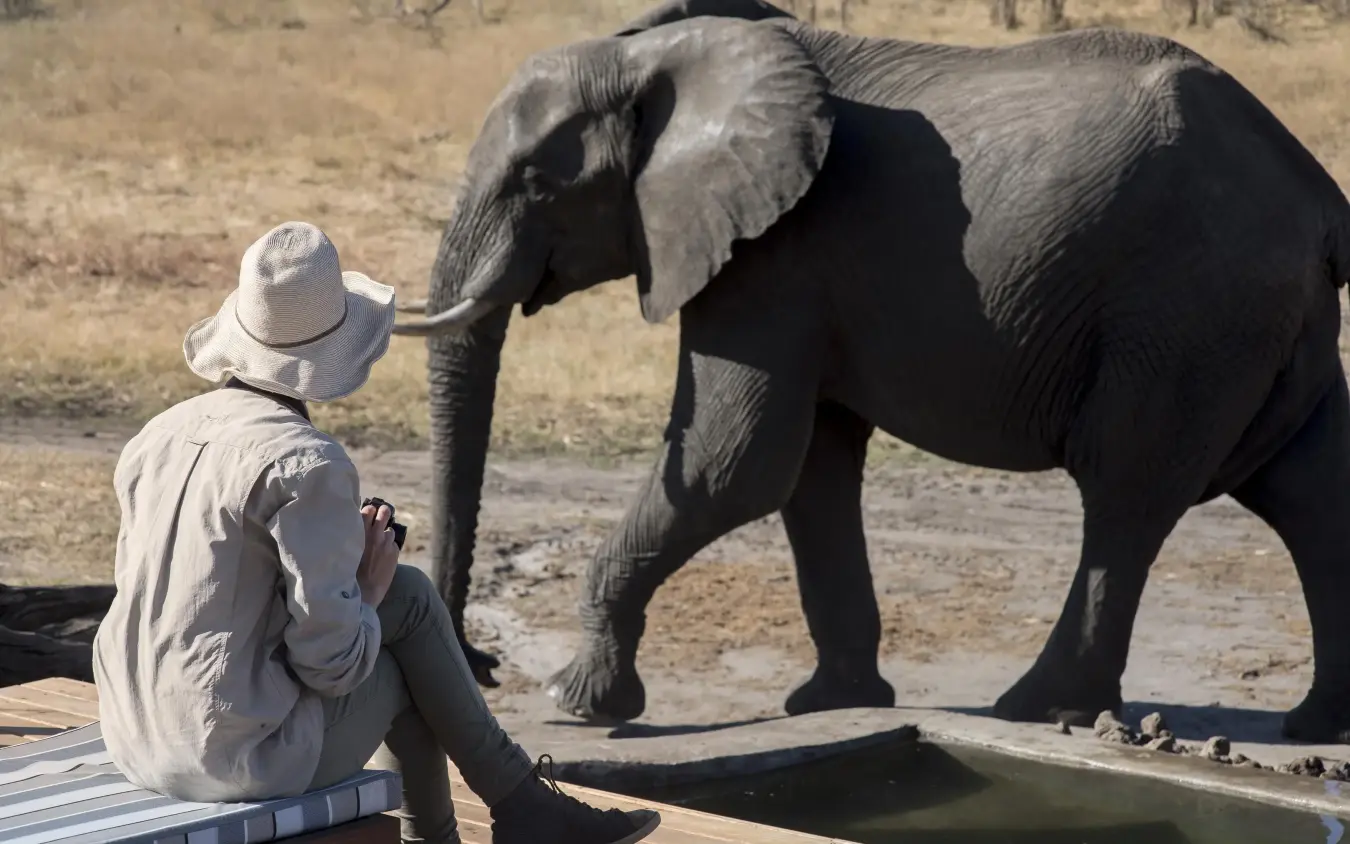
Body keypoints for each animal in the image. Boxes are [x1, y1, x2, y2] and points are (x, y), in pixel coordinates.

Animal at [391, 0, 1350, 742]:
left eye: (536, 182)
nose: (483, 665)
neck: (656, 56)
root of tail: (1319, 202)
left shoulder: (775, 256)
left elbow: (733, 461)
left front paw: (581, 703)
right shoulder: (799, 272)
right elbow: (810, 468)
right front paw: (830, 704)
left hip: (1189, 312)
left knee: (1125, 493)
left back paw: (1035, 709)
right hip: (1252, 325)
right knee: (1306, 491)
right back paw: (1315, 725)